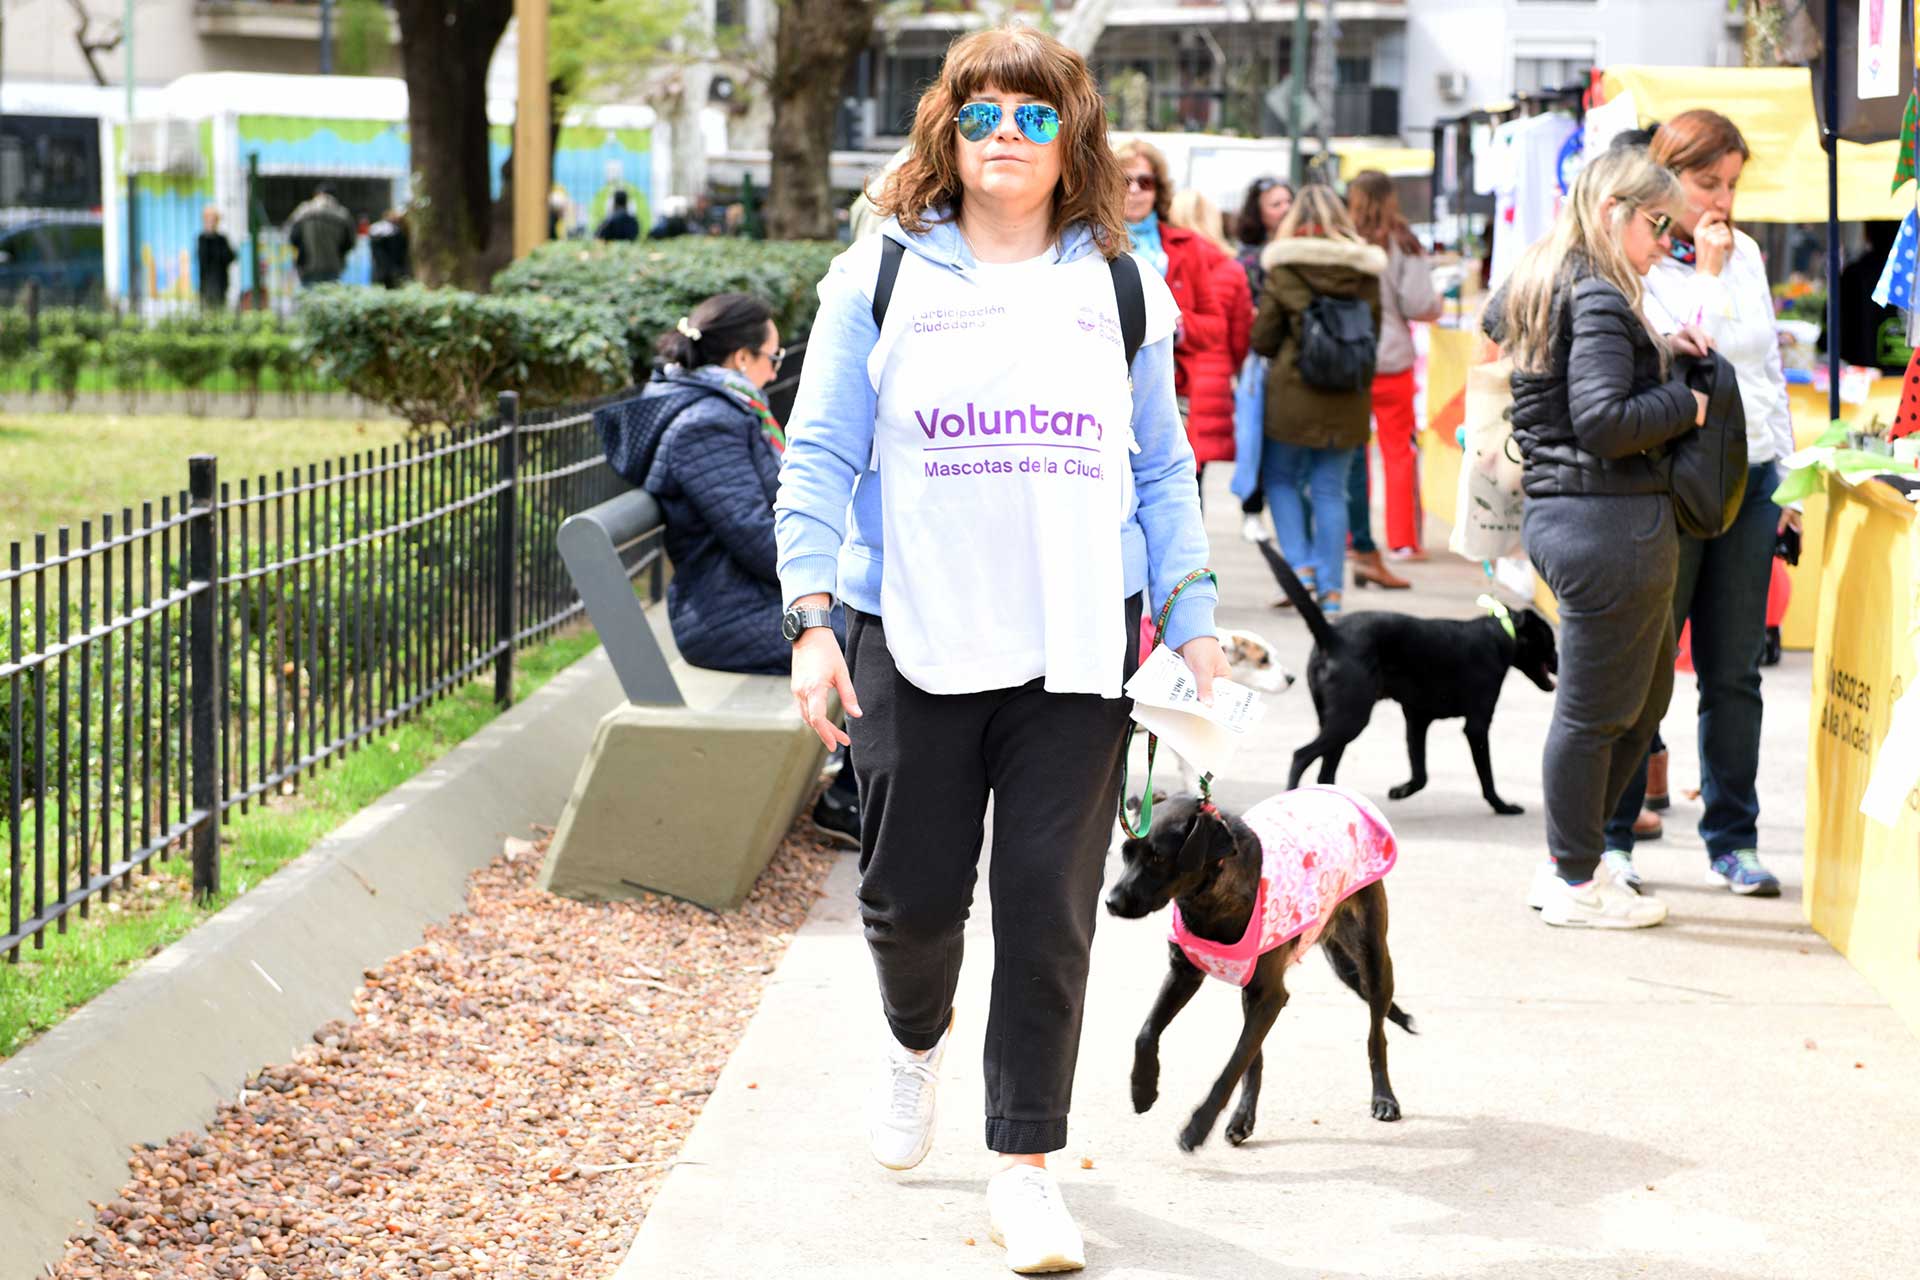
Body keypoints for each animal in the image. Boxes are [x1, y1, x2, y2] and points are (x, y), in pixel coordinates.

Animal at [1113, 790, 1413, 1151]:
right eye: (1125, 853)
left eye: (1158, 858)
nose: (1111, 902)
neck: (1208, 900)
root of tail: (1340, 793)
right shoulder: (1185, 975)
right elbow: (1147, 1033)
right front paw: (1142, 1088)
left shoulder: (1269, 996)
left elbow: (1232, 1066)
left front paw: (1198, 1127)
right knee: (1255, 1057)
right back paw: (1242, 1118)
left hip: (1374, 962)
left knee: (1376, 1036)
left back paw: (1384, 1098)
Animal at [1259, 541, 1559, 809]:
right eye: (1549, 641)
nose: (1559, 661)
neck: (1501, 634)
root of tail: (1331, 636)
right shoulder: (1476, 724)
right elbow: (1486, 776)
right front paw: (1501, 805)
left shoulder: (1417, 719)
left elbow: (1421, 773)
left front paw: (1402, 790)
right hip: (1350, 718)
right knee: (1301, 756)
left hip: (1337, 720)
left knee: (1325, 771)